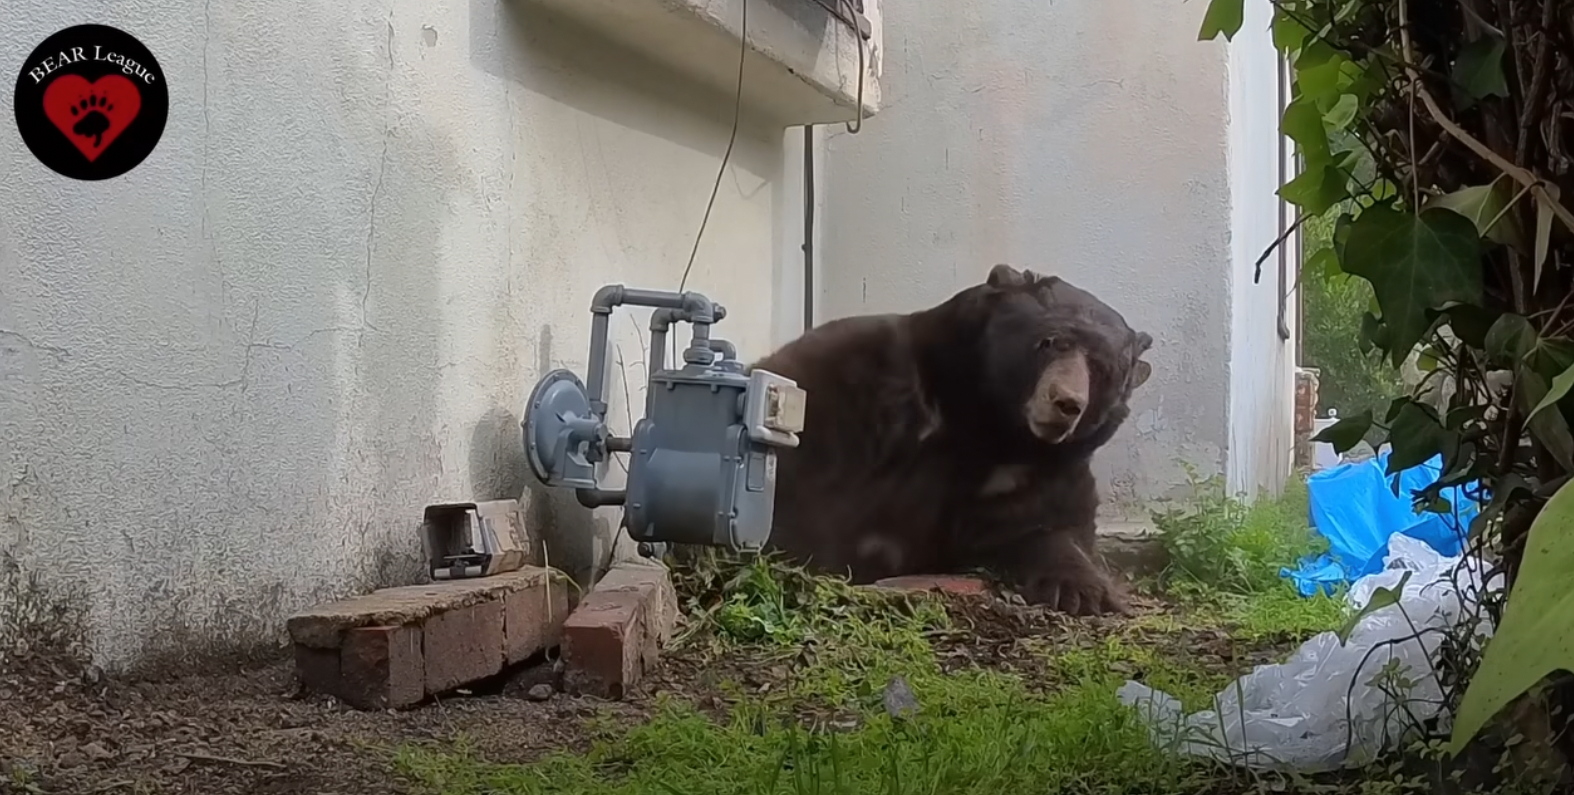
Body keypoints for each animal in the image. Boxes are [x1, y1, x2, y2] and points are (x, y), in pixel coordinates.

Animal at [751, 263, 1154, 616]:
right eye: (1050, 342)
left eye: (1102, 368)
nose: (1066, 402)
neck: (989, 425)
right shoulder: (863, 378)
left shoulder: (1041, 472)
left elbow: (1050, 525)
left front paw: (1084, 591)